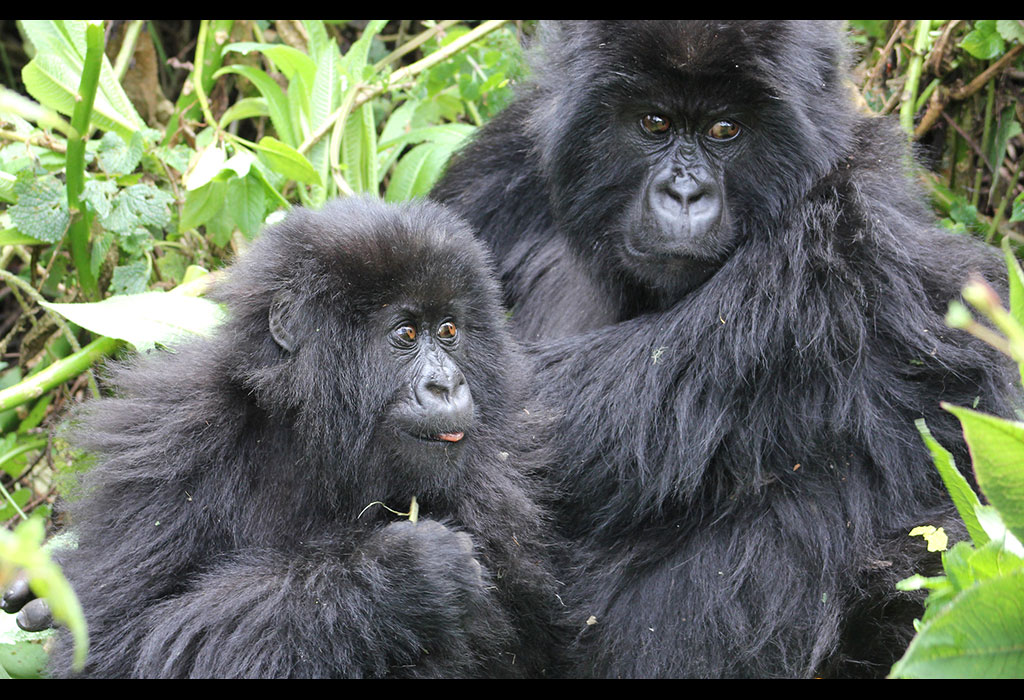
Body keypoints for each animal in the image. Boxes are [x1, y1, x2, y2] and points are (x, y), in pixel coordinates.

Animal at [32, 198, 565, 679]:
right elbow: (113, 643)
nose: (448, 384)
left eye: (449, 329)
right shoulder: (168, 438)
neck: (310, 435)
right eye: (407, 334)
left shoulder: (497, 471)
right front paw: (402, 580)